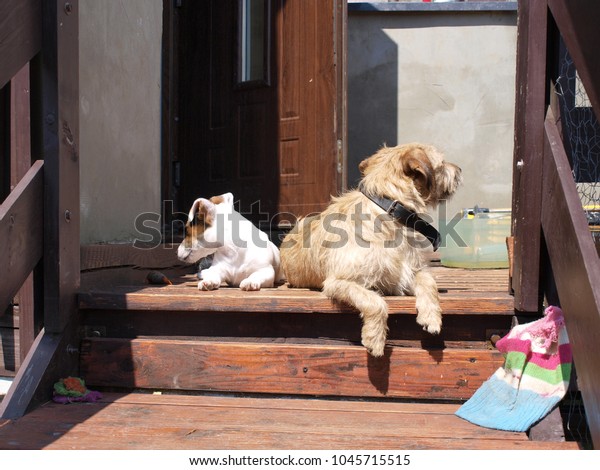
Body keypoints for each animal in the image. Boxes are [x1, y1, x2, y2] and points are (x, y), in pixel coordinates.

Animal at [278, 143, 462, 356]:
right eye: (442, 164)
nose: (459, 170)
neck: (389, 211)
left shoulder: (408, 271)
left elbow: (428, 280)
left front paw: (431, 316)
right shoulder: (338, 282)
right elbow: (374, 300)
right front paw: (375, 338)